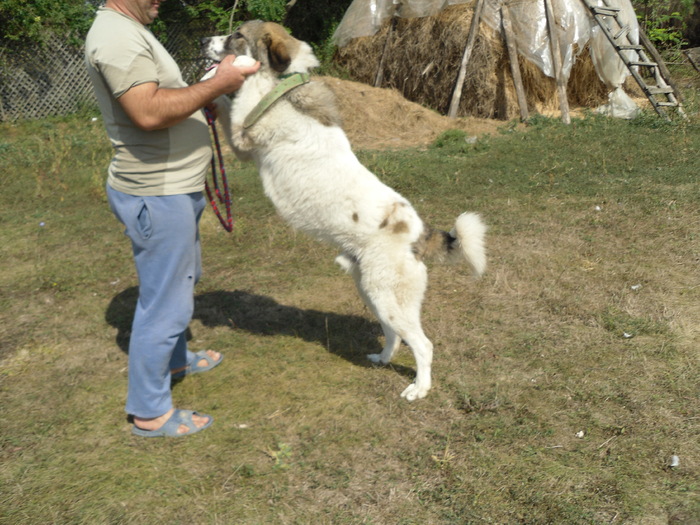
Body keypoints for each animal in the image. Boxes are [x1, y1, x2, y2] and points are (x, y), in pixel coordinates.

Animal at [202, 18, 486, 400]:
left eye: (236, 35)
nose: (204, 41)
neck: (284, 84)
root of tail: (421, 234)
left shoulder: (243, 135)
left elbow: (238, 92)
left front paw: (226, 73)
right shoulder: (243, 142)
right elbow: (223, 99)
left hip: (387, 297)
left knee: (423, 345)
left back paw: (419, 388)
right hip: (372, 292)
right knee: (395, 335)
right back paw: (383, 358)